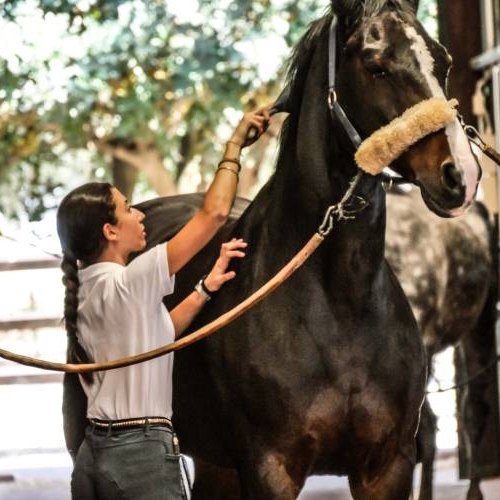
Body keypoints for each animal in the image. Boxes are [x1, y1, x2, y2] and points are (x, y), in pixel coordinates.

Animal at [62, 1, 480, 498]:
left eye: (444, 61)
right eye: (375, 65)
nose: (461, 174)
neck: (342, 304)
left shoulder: (388, 466)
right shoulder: (270, 467)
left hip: (217, 465)